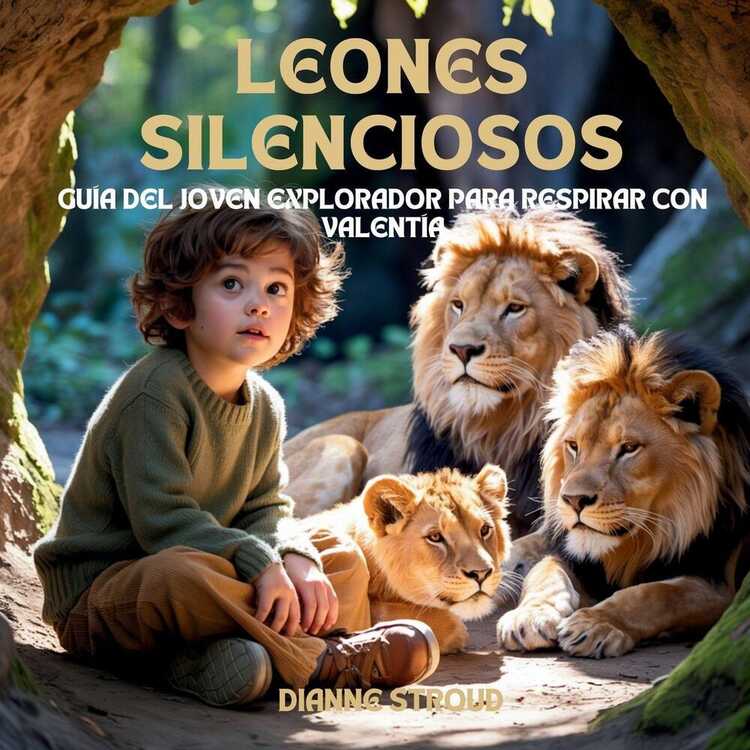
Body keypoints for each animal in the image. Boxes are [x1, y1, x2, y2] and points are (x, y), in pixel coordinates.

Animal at [497, 325, 750, 658]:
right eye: (573, 446)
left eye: (629, 448)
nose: (573, 500)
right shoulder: (572, 553)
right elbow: (545, 570)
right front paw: (530, 617)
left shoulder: (721, 584)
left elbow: (657, 594)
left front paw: (596, 624)